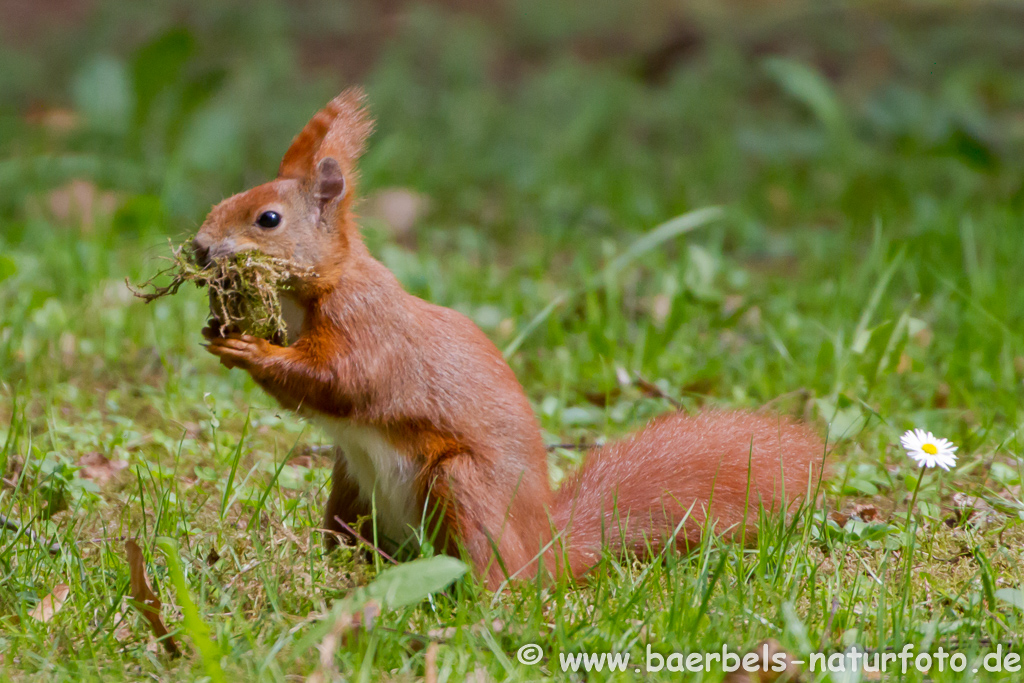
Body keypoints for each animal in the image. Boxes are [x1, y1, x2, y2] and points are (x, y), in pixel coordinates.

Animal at [195, 88, 827, 589]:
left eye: (268, 219)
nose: (200, 248)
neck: (317, 290)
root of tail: (544, 552)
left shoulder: (368, 328)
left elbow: (340, 382)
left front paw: (251, 349)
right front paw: (217, 331)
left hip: (463, 487)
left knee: (498, 578)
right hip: (349, 488)